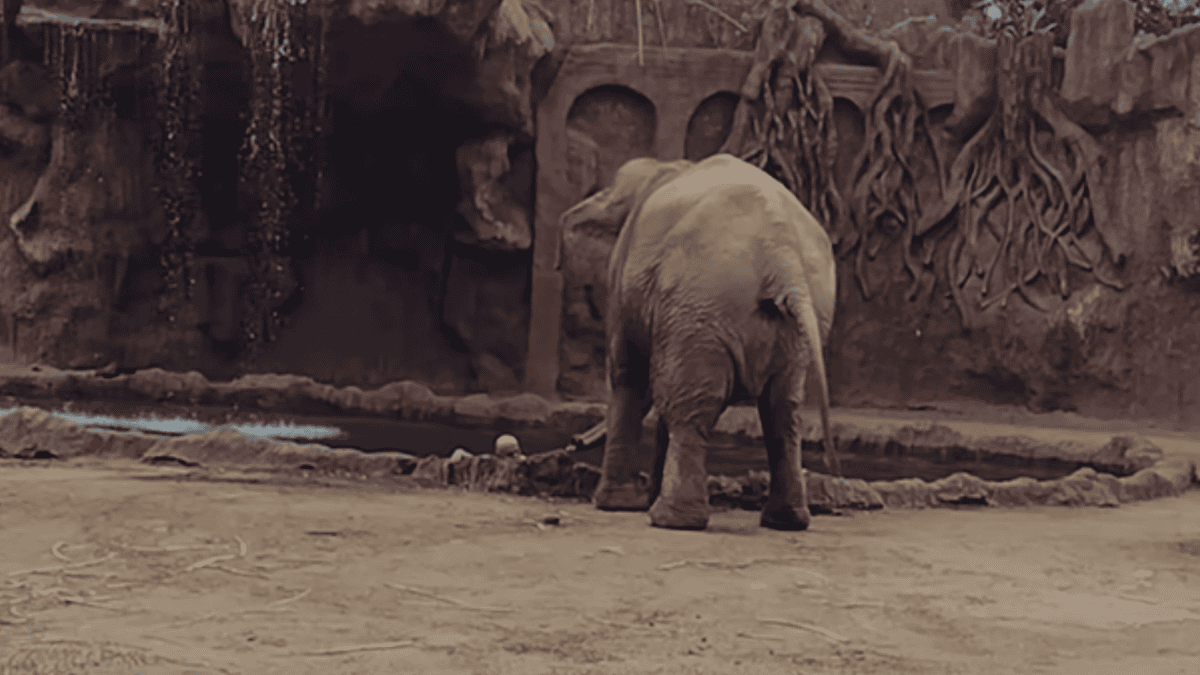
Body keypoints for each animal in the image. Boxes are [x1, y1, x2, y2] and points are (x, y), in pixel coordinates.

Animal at [558, 153, 839, 531]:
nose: (574, 443)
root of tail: (783, 254)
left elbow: (629, 374)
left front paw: (615, 505)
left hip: (701, 299)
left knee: (690, 404)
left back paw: (670, 520)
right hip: (796, 321)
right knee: (782, 409)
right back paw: (785, 521)